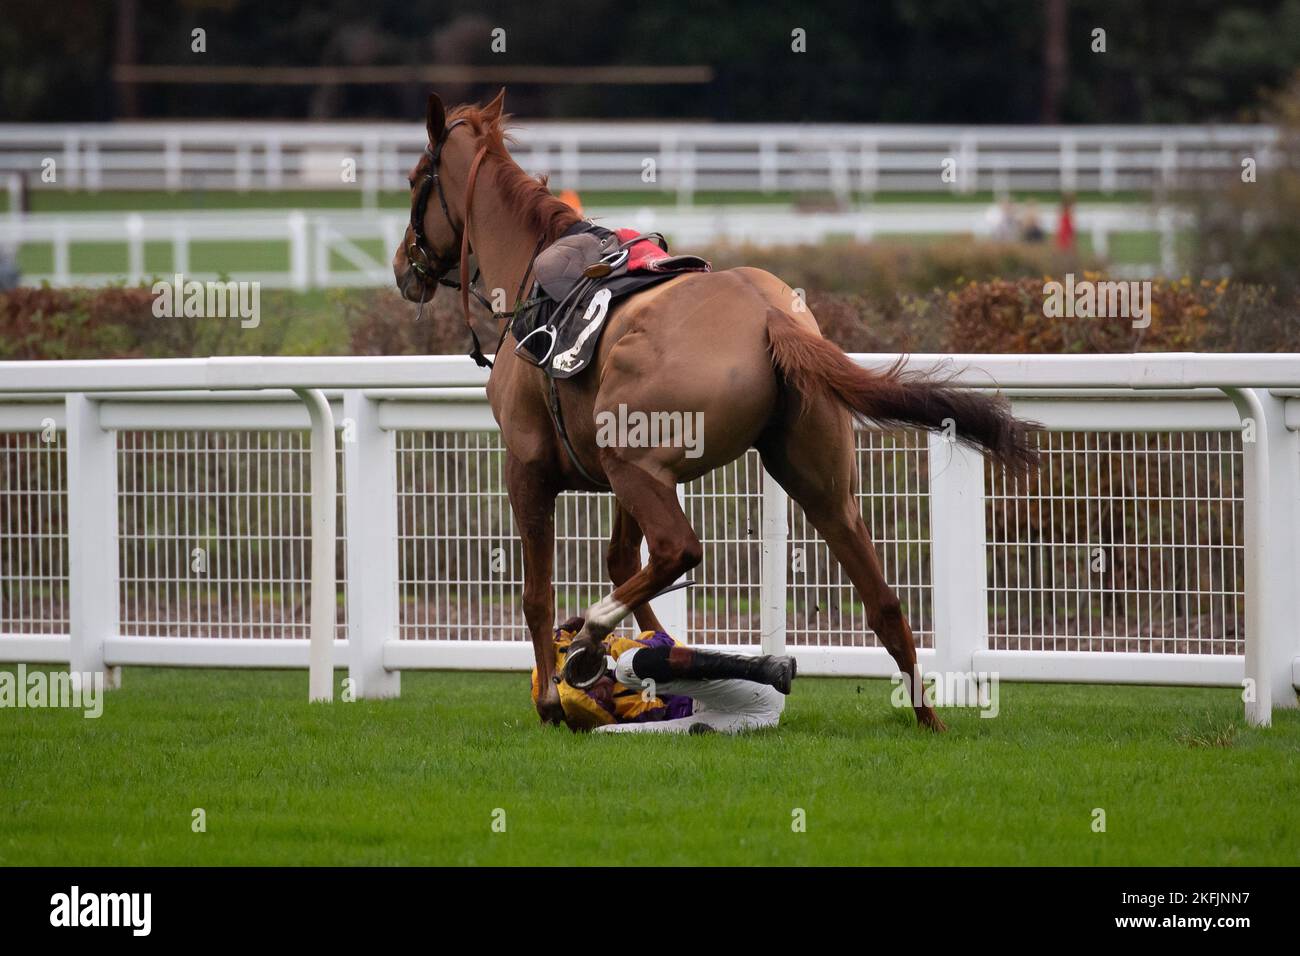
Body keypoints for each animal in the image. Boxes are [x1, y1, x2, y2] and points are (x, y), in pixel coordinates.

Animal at [395, 93, 1034, 728]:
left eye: (414, 179)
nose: (403, 267)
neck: (532, 270)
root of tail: (768, 316)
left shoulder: (529, 469)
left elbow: (539, 594)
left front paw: (558, 693)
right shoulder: (621, 476)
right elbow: (622, 561)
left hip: (636, 465)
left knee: (679, 550)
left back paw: (591, 636)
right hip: (814, 482)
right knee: (881, 600)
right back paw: (925, 714)